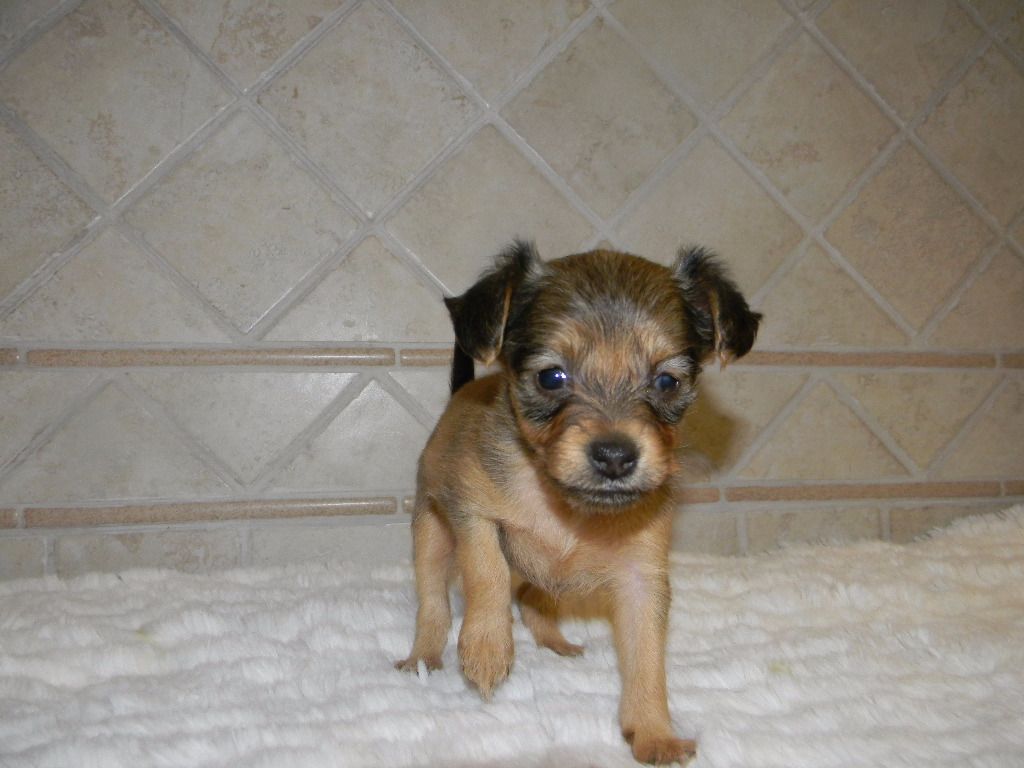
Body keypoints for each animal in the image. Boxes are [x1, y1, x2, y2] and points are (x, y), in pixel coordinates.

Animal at [396, 241, 760, 765]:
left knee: (532, 596)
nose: (615, 455)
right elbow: (487, 570)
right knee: (434, 602)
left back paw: (556, 644)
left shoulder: (642, 579)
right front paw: (487, 648)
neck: (565, 505)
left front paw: (654, 733)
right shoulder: (472, 511)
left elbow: (647, 659)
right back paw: (424, 658)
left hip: (546, 580)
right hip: (431, 534)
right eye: (552, 377)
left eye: (666, 382)